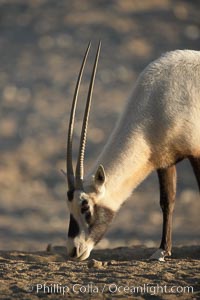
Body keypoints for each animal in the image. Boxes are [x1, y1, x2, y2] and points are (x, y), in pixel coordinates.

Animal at [63, 41, 200, 262]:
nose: (73, 250)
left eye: (85, 207)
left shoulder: (195, 153)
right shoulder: (165, 159)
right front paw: (162, 250)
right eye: (70, 207)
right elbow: (167, 202)